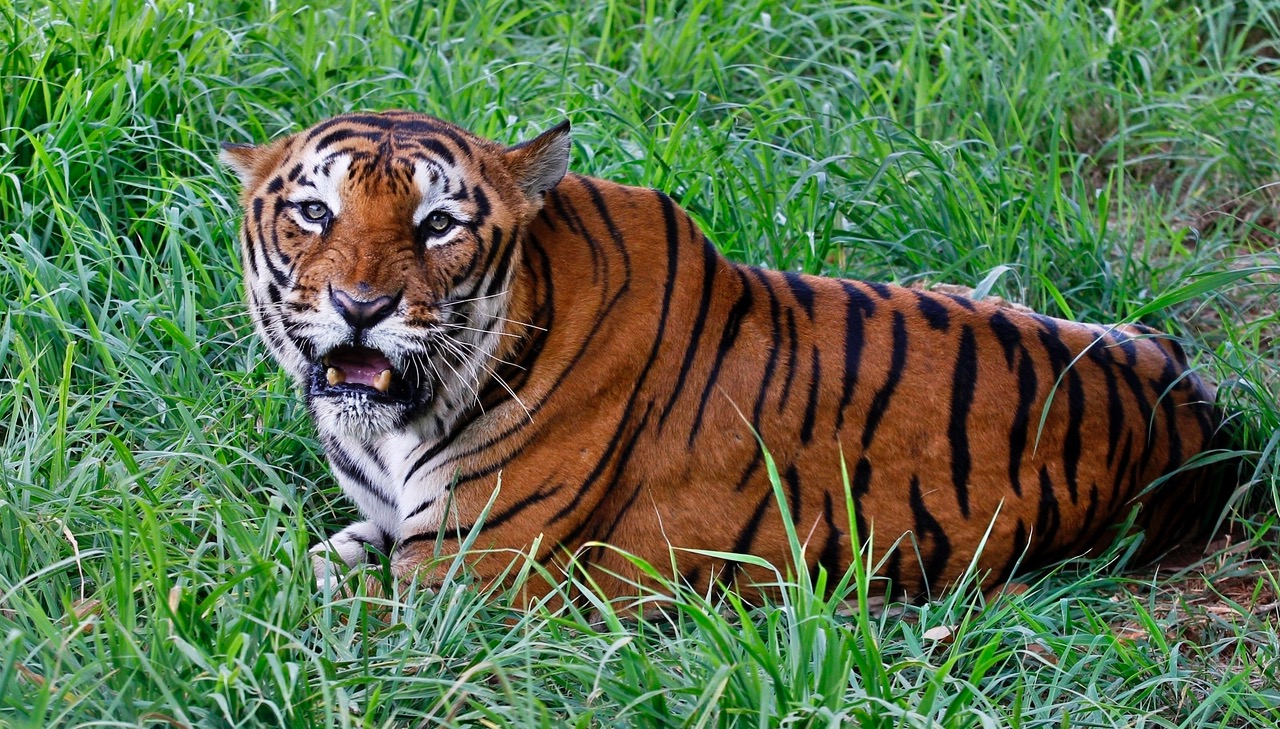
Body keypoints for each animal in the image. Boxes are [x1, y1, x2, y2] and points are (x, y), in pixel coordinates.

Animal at [222, 109, 1239, 601]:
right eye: (314, 210)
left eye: (438, 224)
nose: (362, 307)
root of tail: (1202, 397)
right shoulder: (391, 531)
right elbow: (290, 568)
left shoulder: (465, 575)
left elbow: (292, 618)